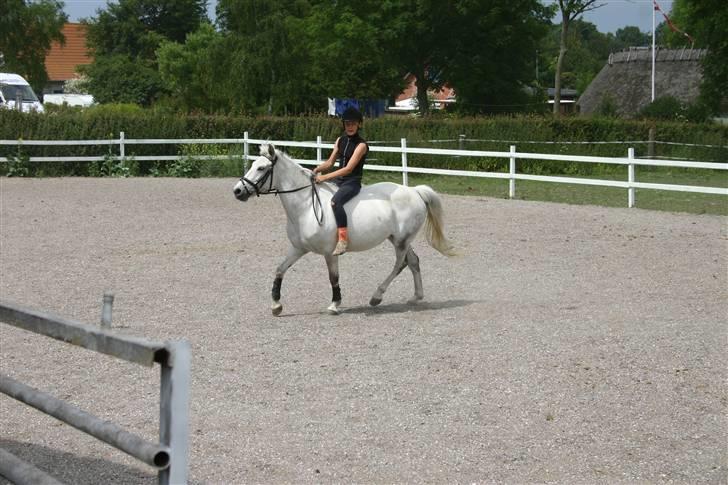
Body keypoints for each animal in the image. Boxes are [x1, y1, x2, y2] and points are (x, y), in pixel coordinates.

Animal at [232, 144, 455, 315]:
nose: (237, 191)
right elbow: (280, 269)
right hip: (397, 238)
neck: (306, 206)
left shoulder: (329, 252)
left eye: (261, 168)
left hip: (401, 240)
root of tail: (414, 191)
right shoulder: (298, 248)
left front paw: (334, 304)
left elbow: (333, 277)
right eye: (253, 165)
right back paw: (416, 297)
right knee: (413, 261)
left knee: (400, 264)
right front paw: (276, 305)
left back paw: (376, 297)